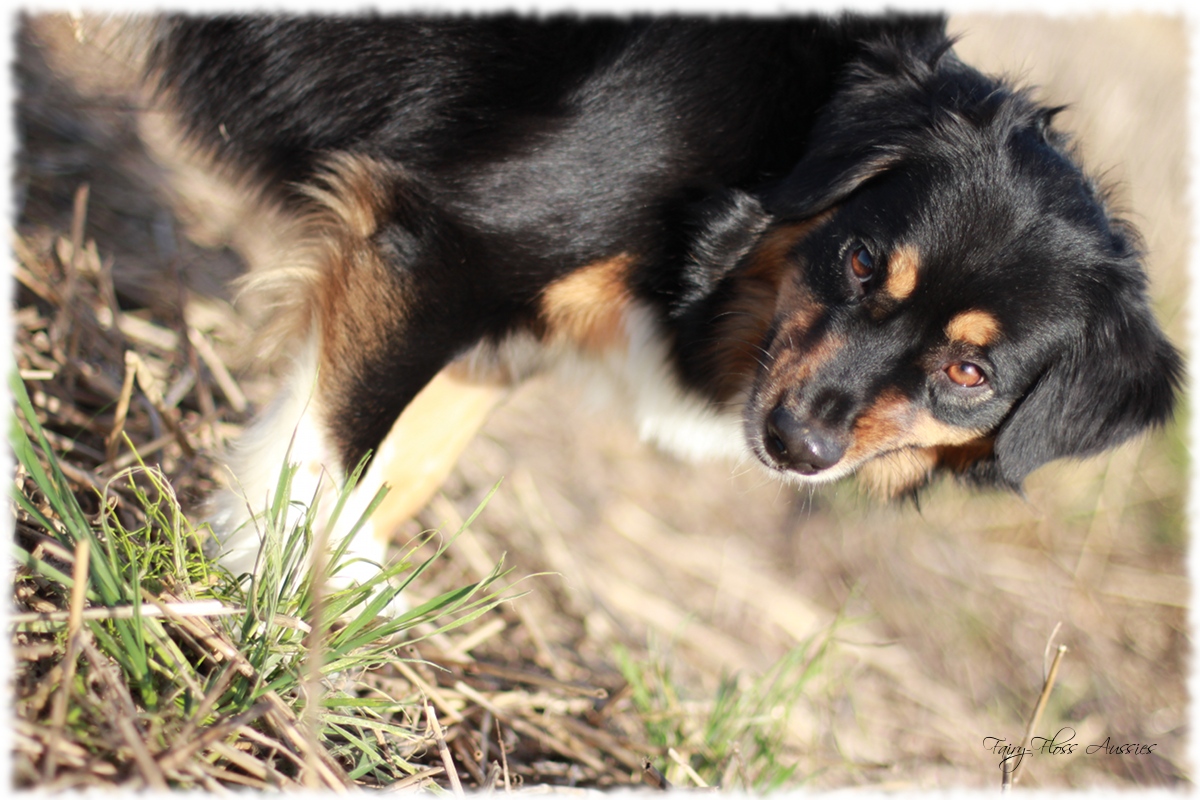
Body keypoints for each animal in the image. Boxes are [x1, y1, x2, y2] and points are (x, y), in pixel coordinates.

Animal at [126, 14, 1176, 594]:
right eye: (862, 260)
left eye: (969, 371)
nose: (797, 444)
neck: (776, 147)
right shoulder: (455, 239)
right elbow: (337, 442)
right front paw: (272, 598)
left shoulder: (498, 316)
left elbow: (414, 453)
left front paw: (346, 592)